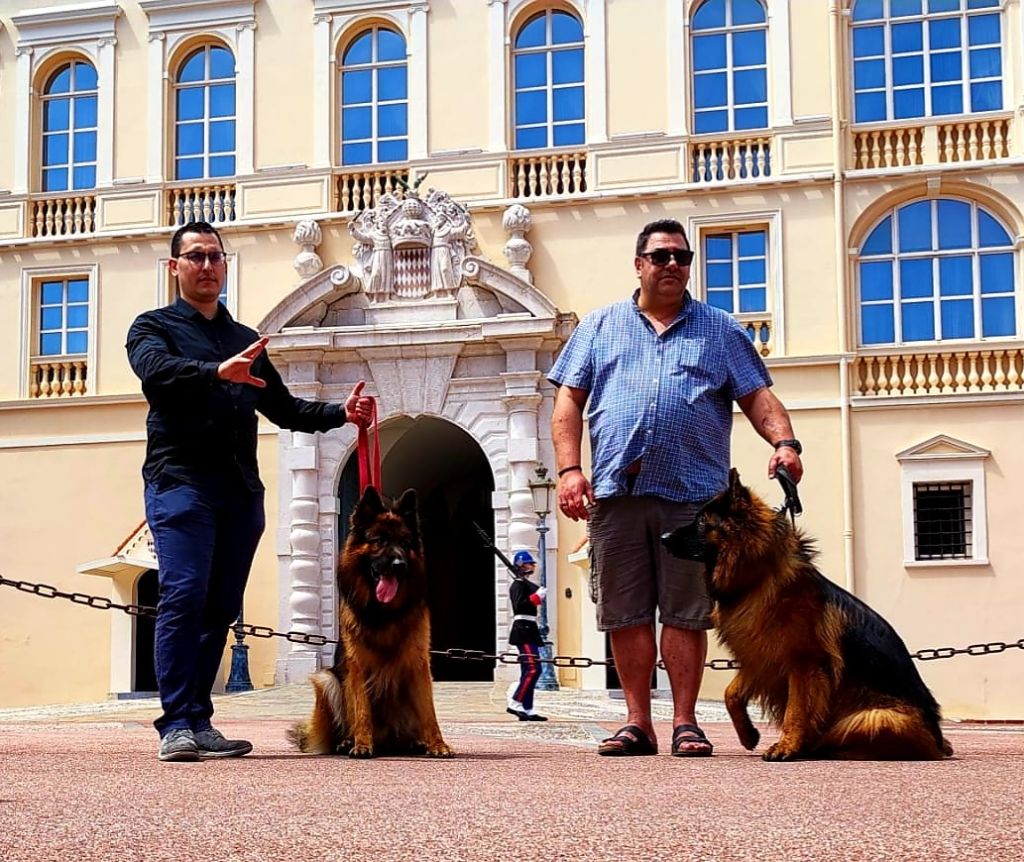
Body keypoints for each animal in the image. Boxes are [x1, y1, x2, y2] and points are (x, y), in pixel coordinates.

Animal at [286, 487, 450, 757]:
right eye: (379, 541)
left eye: (405, 544)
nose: (399, 564)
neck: (383, 612)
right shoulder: (357, 667)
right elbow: (361, 710)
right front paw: (362, 744)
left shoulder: (418, 666)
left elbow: (429, 713)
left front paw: (438, 744)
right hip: (326, 681)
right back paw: (347, 742)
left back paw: (414, 742)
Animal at [663, 470, 950, 757]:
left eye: (702, 521)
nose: (663, 537)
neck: (758, 578)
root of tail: (938, 740)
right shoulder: (760, 655)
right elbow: (730, 693)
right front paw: (748, 734)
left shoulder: (803, 663)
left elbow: (797, 709)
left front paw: (786, 745)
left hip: (877, 717)